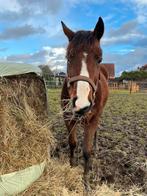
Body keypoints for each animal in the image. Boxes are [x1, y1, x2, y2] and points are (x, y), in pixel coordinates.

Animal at [60, 17, 108, 176]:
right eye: (68, 57)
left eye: (99, 58)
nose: (81, 104)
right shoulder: (68, 117)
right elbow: (72, 143)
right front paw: (72, 165)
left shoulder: (92, 119)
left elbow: (87, 151)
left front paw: (86, 177)